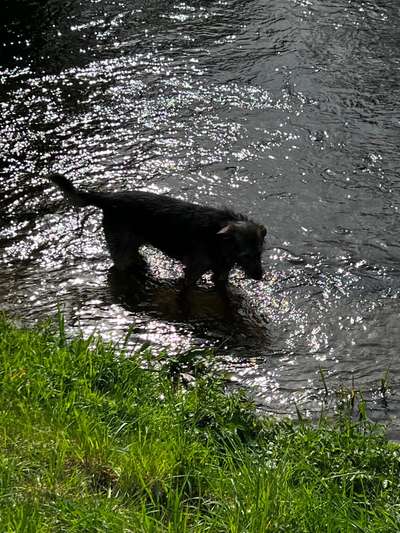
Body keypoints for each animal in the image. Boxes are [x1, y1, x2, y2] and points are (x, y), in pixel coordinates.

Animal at [48, 174, 266, 290]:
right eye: (245, 256)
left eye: (259, 254)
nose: (260, 276)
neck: (219, 241)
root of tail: (108, 198)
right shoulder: (192, 272)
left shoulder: (221, 273)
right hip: (120, 250)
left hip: (132, 245)